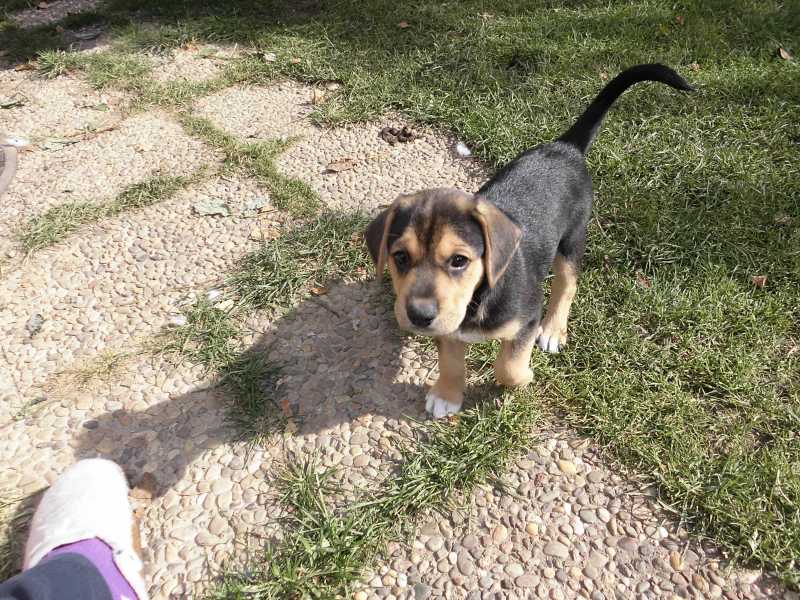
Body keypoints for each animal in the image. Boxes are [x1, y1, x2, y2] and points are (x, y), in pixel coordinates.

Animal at [366, 64, 693, 418]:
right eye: (400, 257)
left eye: (459, 261)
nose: (419, 316)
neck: (479, 297)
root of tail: (566, 148)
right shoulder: (449, 326)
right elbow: (451, 361)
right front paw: (447, 394)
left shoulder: (527, 317)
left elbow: (507, 365)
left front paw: (522, 377)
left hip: (572, 239)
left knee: (567, 284)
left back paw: (552, 331)